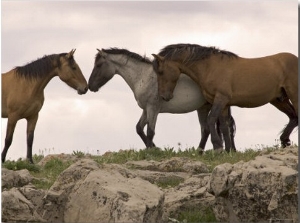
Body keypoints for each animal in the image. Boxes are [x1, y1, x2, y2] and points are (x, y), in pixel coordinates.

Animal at [152, 43, 298, 152]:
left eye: (161, 71)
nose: (164, 96)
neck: (210, 67)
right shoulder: (224, 104)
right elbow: (224, 126)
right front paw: (229, 150)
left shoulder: (221, 99)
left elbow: (211, 119)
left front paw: (218, 146)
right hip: (278, 100)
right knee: (293, 117)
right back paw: (284, 140)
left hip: (293, 94)